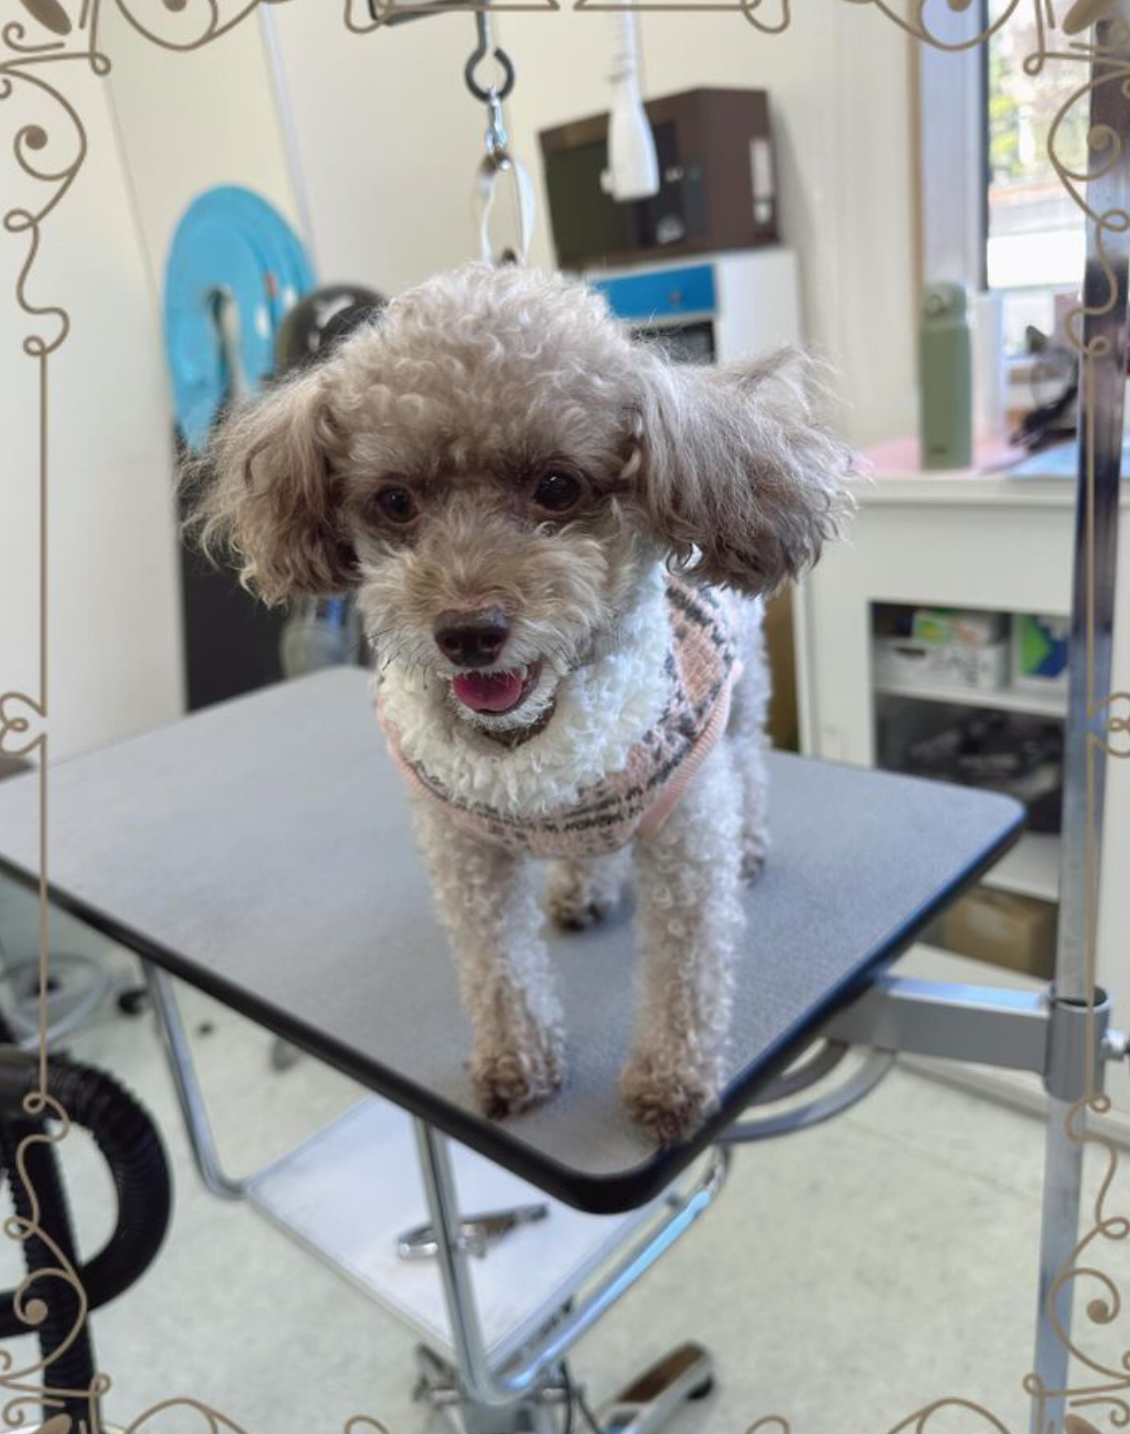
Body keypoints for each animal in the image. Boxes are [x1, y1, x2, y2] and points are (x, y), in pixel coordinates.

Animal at [188, 262, 852, 1144]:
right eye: (395, 501)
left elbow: (685, 975)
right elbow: (497, 965)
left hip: (740, 708)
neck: (522, 745)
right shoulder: (464, 851)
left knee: (747, 766)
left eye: (557, 486)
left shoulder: (683, 840)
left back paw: (747, 843)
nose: (469, 633)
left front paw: (670, 1082)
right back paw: (584, 887)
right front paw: (516, 1063)